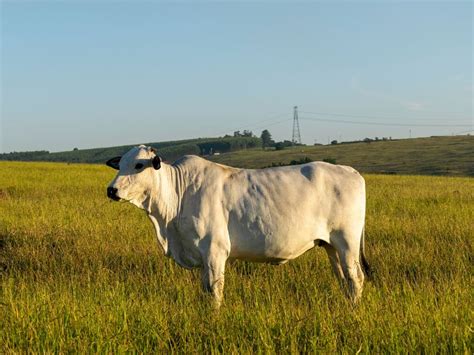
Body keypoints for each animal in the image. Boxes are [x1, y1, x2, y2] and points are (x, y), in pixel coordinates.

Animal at [106, 146, 370, 308]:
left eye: (139, 165)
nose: (111, 190)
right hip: (330, 245)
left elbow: (215, 290)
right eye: (120, 165)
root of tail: (351, 171)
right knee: (343, 279)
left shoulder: (215, 251)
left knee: (356, 278)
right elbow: (205, 289)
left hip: (347, 242)